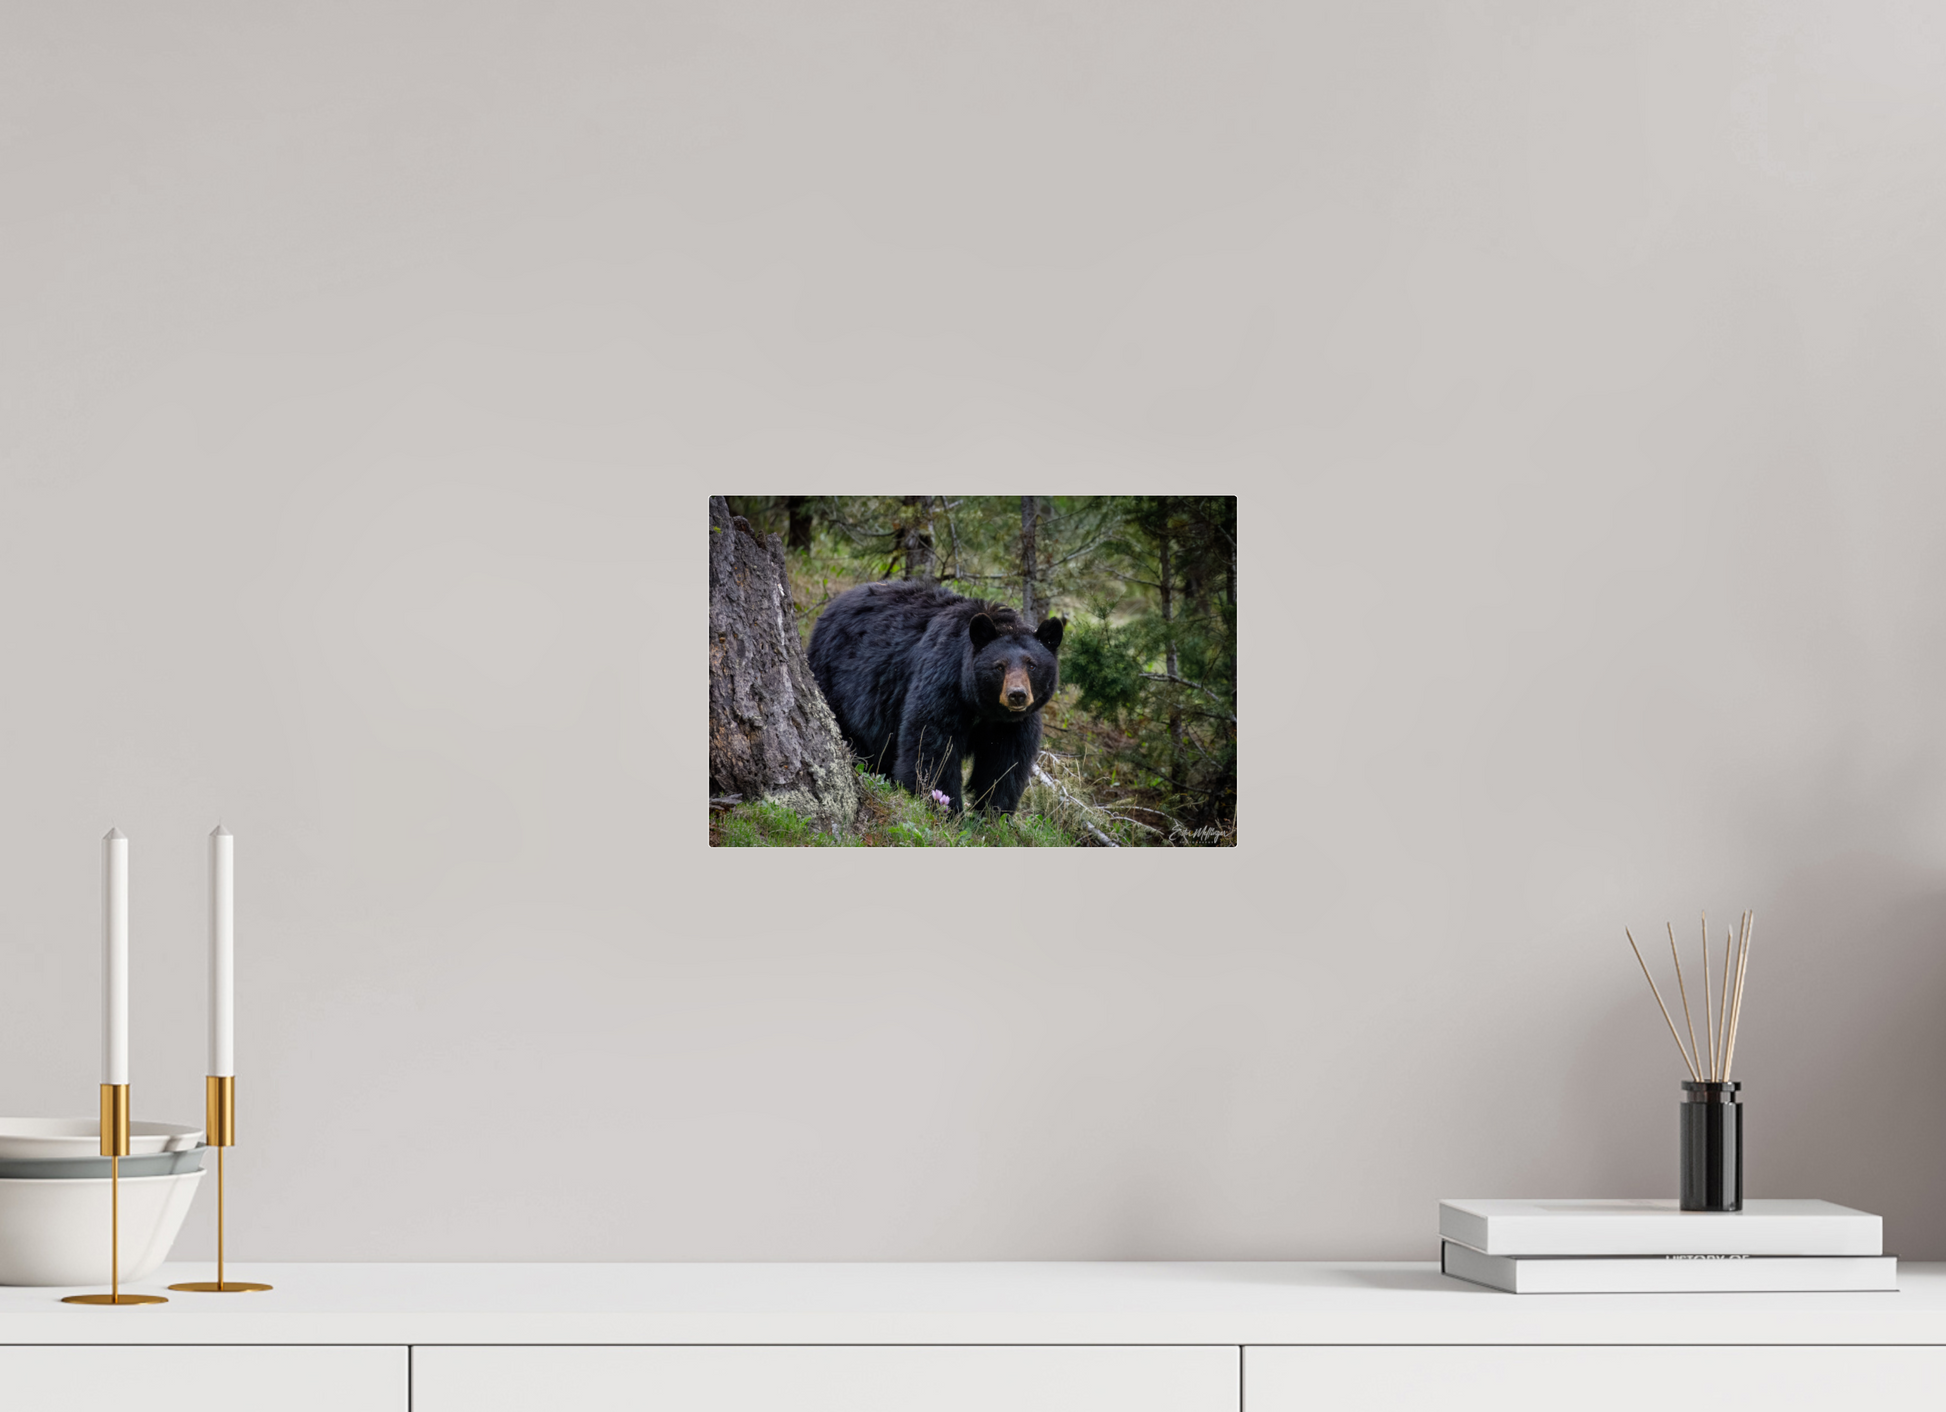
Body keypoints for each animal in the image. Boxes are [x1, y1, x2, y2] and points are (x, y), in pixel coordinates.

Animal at [807, 581, 1065, 815]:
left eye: (1032, 665)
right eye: (999, 666)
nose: (1017, 695)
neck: (983, 707)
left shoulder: (1013, 724)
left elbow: (1005, 762)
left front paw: (994, 814)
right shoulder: (943, 681)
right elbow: (932, 743)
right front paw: (946, 808)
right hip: (835, 679)